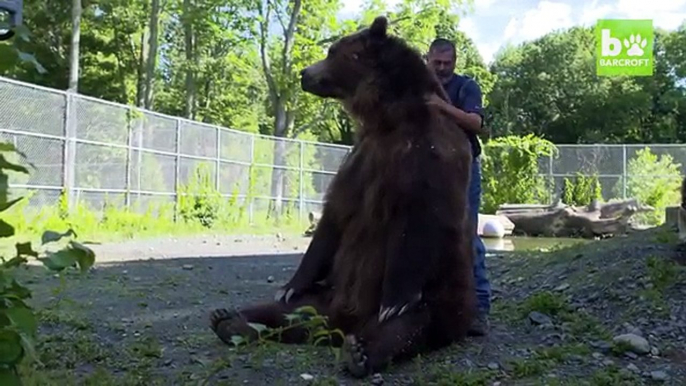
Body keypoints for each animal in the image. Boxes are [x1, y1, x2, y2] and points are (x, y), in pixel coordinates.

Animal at [211, 15, 478, 376]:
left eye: (333, 51)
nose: (304, 73)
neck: (386, 116)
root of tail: (343, 321)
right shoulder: (360, 162)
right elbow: (334, 217)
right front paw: (289, 285)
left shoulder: (426, 155)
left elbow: (420, 218)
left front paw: (394, 302)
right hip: (324, 298)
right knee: (289, 312)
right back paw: (230, 318)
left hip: (443, 296)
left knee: (413, 325)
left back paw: (361, 350)